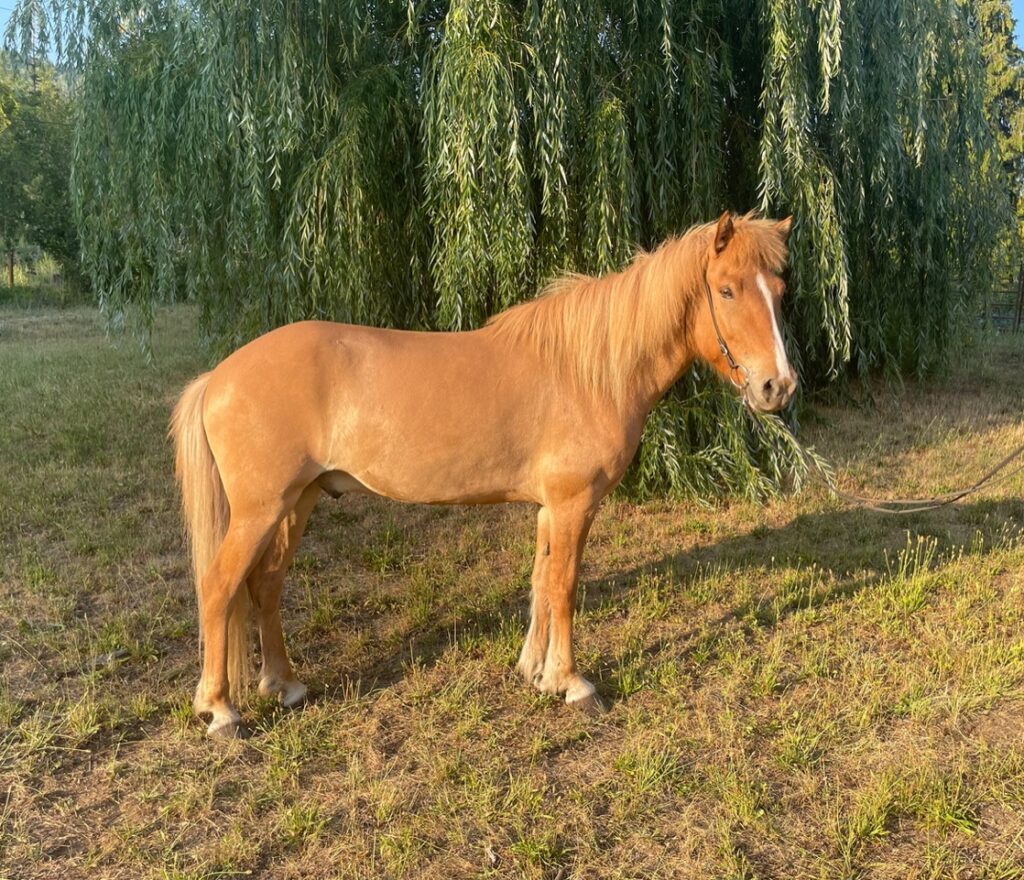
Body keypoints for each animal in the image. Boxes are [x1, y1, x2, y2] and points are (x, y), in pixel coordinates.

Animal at [172, 212, 794, 737]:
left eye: (780, 291)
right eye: (726, 289)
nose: (778, 387)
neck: (586, 371)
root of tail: (218, 377)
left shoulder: (550, 508)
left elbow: (542, 582)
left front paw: (537, 672)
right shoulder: (573, 504)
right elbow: (565, 587)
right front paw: (574, 685)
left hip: (298, 502)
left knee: (266, 585)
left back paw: (284, 685)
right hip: (261, 511)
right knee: (220, 587)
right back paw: (221, 711)